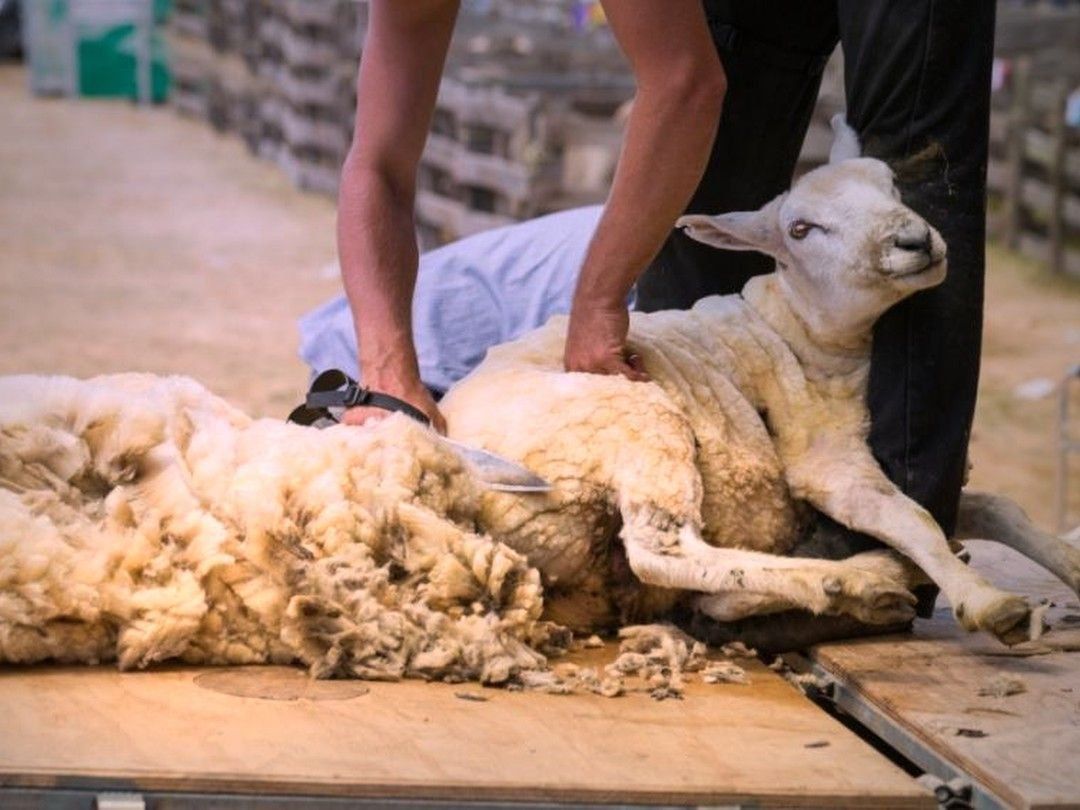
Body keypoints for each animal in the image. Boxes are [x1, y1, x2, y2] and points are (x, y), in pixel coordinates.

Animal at [439, 118, 1080, 646]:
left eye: (892, 187)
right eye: (801, 229)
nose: (915, 241)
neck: (803, 333)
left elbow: (996, 507)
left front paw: (1067, 566)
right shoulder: (828, 465)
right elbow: (913, 518)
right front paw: (989, 602)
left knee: (695, 590)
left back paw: (861, 582)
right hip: (636, 424)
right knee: (665, 553)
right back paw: (860, 581)